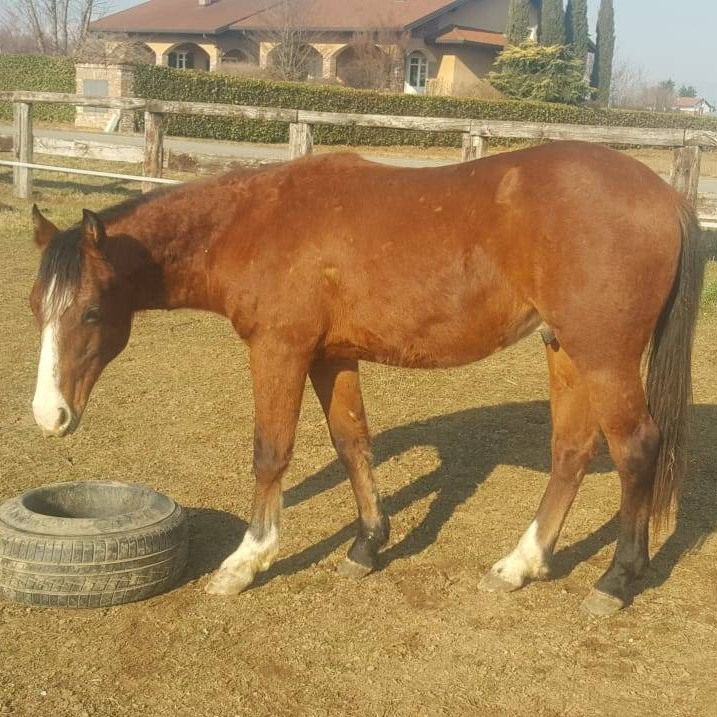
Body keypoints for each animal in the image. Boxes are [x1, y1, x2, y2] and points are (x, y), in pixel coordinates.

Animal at [28, 141, 705, 616]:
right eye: (37, 306)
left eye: (90, 313)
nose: (48, 416)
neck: (254, 222)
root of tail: (666, 196)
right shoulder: (332, 357)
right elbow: (353, 443)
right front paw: (368, 545)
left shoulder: (280, 351)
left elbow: (271, 453)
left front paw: (247, 561)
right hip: (564, 349)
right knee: (571, 451)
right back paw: (520, 565)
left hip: (604, 356)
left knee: (636, 449)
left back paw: (616, 581)